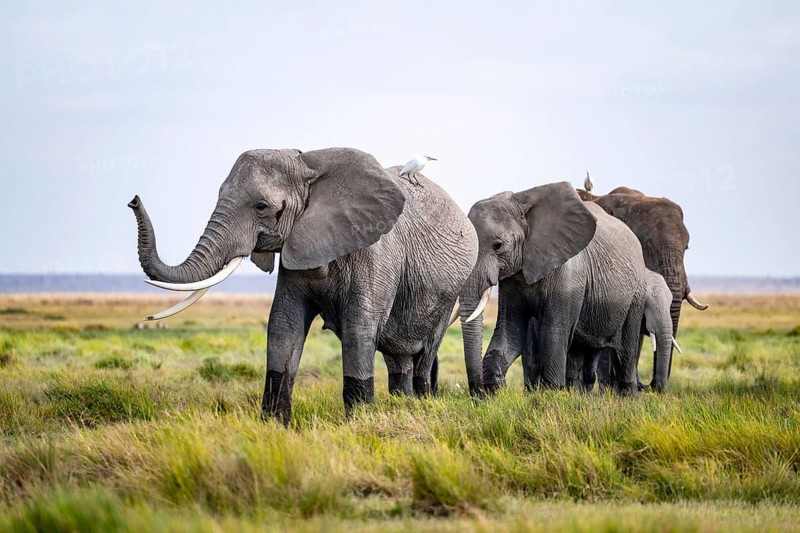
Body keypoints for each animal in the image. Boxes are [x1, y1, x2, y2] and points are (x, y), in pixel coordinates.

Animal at [129, 147, 478, 424]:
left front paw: (358, 424)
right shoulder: (295, 247)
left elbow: (360, 327)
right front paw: (274, 427)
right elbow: (284, 323)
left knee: (425, 352)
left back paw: (421, 403)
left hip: (450, 292)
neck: (308, 165)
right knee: (398, 358)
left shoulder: (377, 251)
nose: (133, 199)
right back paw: (402, 405)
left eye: (261, 207)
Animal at [457, 182, 648, 396]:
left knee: (625, 349)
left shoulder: (569, 274)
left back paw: (628, 399)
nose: (478, 392)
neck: (521, 202)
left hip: (636, 293)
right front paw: (496, 393)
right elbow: (511, 331)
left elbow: (553, 332)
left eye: (497, 245)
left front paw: (550, 394)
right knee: (581, 350)